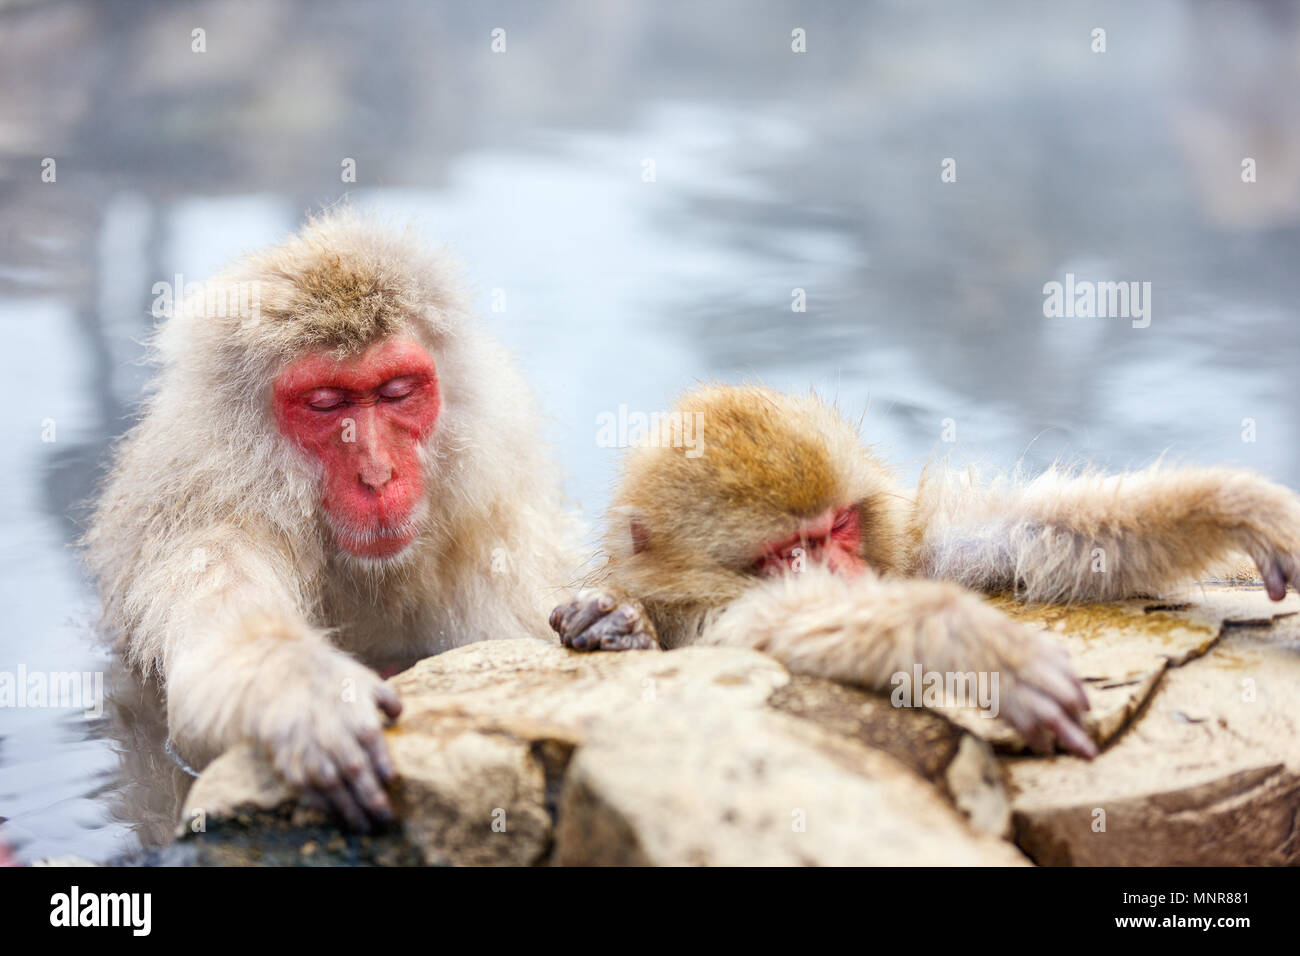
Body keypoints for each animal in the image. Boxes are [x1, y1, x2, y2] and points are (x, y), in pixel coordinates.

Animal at [85, 210, 580, 830]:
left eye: (396, 392)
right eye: (326, 403)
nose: (377, 474)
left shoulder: (490, 533)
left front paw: (611, 621)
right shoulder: (209, 527)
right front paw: (306, 696)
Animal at [551, 385, 1300, 758]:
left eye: (840, 528)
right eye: (791, 552)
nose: (846, 575)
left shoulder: (909, 549)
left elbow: (1025, 535)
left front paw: (1238, 505)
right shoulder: (712, 607)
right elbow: (783, 626)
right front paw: (972, 645)